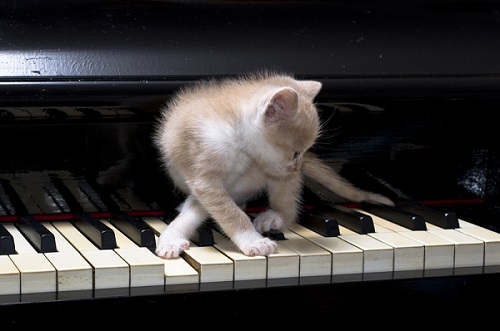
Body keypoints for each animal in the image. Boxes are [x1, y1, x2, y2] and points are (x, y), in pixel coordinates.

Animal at [153, 72, 394, 260]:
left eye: (304, 152)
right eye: (296, 152)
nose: (297, 168)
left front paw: (258, 234)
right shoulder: (205, 174)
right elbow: (227, 212)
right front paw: (252, 241)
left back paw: (274, 217)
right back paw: (172, 238)